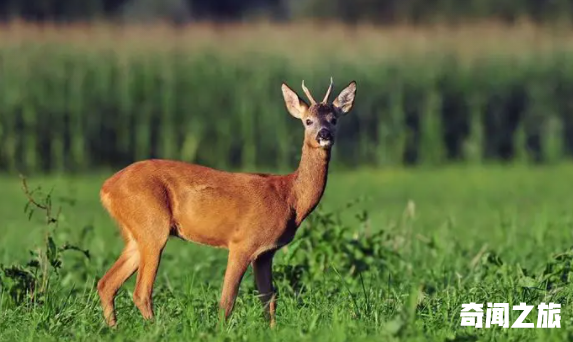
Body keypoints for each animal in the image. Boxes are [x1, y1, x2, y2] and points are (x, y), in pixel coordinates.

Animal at [97, 77, 358, 328]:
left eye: (334, 119)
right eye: (308, 121)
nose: (324, 135)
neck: (290, 197)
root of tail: (106, 188)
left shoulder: (266, 253)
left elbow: (269, 299)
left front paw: (273, 331)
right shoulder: (242, 242)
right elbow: (227, 300)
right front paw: (220, 331)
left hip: (137, 235)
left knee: (106, 283)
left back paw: (114, 328)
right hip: (153, 227)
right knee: (141, 291)